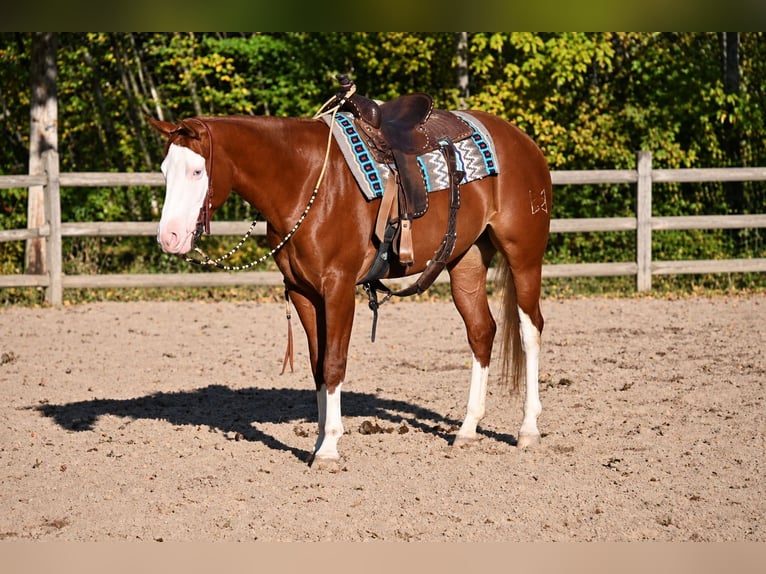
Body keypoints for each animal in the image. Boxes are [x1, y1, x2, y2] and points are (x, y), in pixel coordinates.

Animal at [148, 95, 551, 467]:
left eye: (197, 172)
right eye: (165, 170)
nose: (169, 237)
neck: (306, 181)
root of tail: (524, 143)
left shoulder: (338, 287)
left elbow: (333, 363)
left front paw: (328, 448)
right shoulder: (303, 292)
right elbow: (317, 366)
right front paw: (315, 443)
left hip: (524, 257)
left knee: (530, 330)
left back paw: (528, 429)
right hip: (466, 261)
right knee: (482, 332)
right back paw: (467, 429)